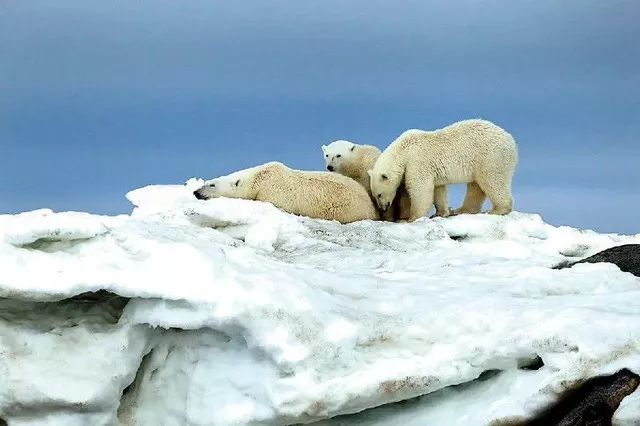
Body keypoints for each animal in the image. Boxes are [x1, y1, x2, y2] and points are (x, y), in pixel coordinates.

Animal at [368, 119, 516, 221]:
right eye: (374, 195)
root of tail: (511, 141)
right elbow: (438, 189)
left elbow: (420, 188)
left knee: (492, 181)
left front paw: (411, 218)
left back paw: (497, 210)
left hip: (490, 157)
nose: (382, 208)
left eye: (379, 194)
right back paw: (461, 210)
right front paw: (440, 212)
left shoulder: (417, 161)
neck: (404, 149)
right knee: (476, 186)